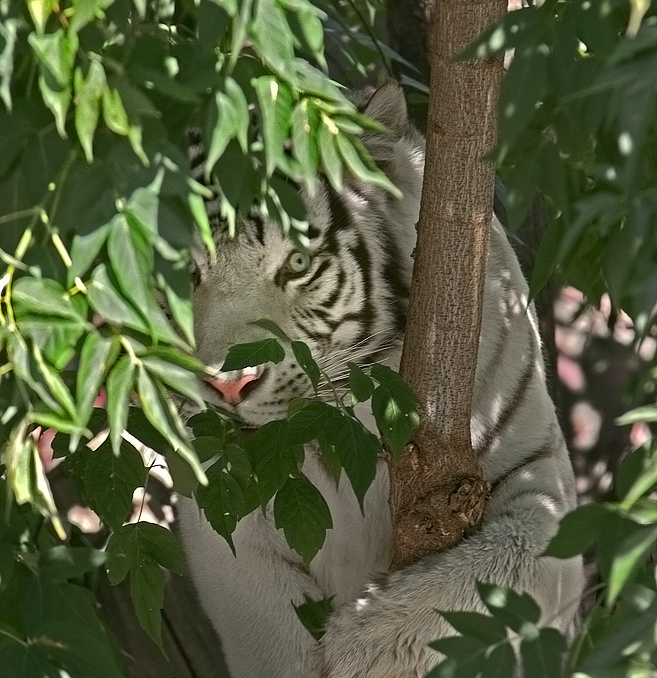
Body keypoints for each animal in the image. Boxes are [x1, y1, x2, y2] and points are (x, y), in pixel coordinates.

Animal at [177, 81, 584, 678]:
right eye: (187, 274)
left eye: (297, 264)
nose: (228, 386)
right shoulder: (225, 517)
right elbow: (272, 635)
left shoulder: (541, 481)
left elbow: (493, 568)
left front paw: (359, 645)